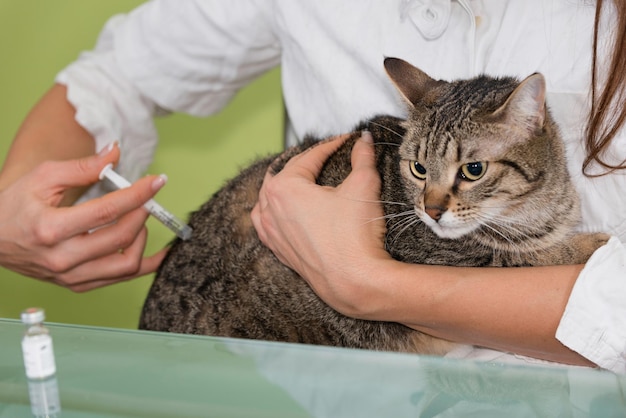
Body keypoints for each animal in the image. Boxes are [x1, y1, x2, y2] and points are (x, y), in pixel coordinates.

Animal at [139, 57, 608, 354]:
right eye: (418, 168)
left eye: (473, 170)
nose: (431, 209)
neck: (540, 208)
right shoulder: (454, 258)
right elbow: (537, 254)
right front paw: (597, 242)